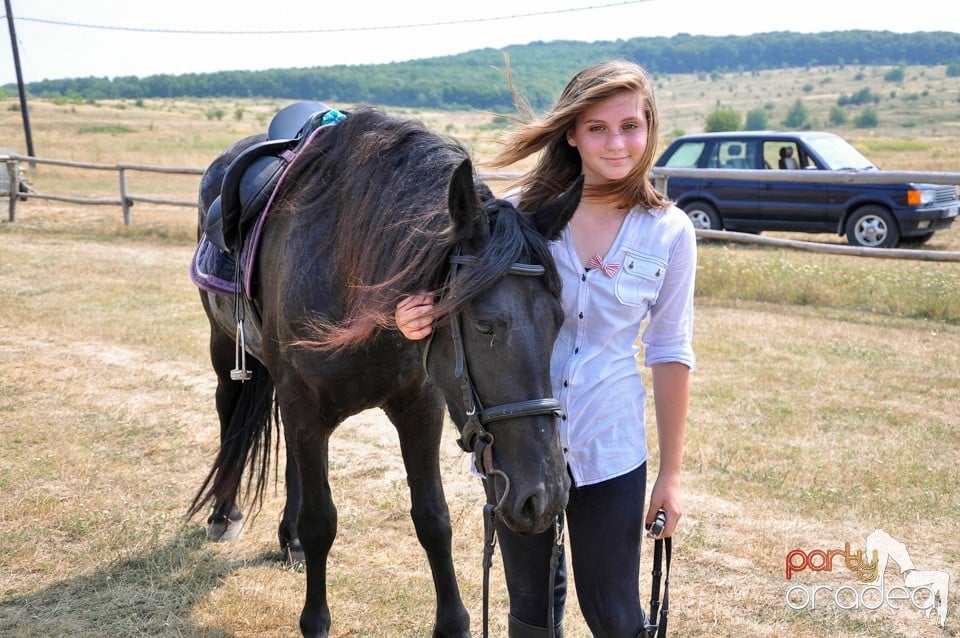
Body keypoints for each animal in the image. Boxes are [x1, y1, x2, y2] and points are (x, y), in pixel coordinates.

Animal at [186, 107, 576, 636]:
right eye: (485, 325)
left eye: (558, 320)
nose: (547, 497)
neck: (347, 272)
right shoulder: (305, 405)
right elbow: (321, 522)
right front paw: (315, 621)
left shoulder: (418, 407)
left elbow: (433, 517)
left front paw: (452, 622)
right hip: (227, 351)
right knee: (229, 419)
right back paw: (224, 514)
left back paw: (288, 541)